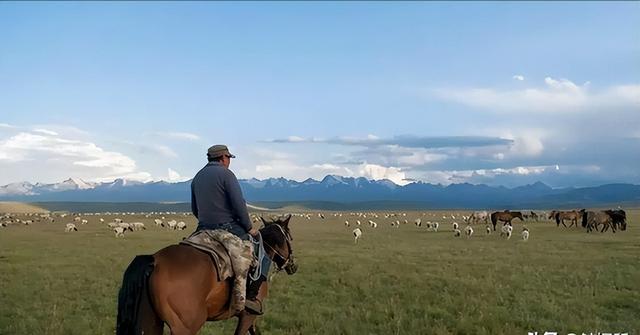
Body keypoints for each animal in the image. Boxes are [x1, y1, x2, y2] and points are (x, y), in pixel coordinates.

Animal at [116, 215, 296, 335]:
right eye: (290, 237)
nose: (293, 267)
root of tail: (154, 260)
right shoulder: (248, 315)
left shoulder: (250, 318)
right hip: (186, 326)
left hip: (151, 322)